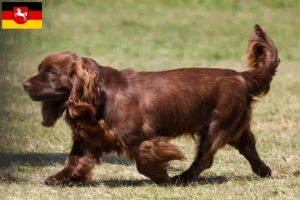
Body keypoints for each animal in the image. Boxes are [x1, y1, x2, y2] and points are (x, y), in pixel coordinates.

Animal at [22, 24, 278, 185]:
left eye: (52, 73)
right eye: (40, 69)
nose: (24, 84)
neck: (100, 98)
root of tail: (241, 76)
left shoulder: (142, 137)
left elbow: (144, 161)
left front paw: (162, 176)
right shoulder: (87, 139)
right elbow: (74, 160)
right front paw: (61, 178)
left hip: (217, 126)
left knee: (205, 158)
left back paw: (183, 178)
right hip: (233, 125)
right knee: (248, 146)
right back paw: (264, 171)